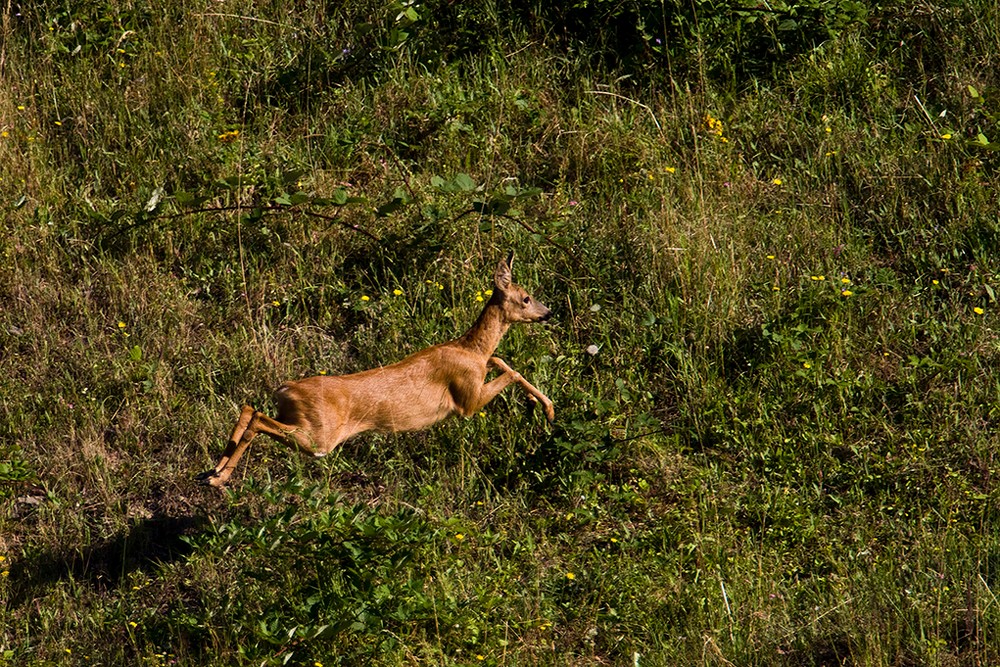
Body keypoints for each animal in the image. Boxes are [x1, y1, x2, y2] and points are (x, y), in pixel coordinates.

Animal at [195, 253, 556, 488]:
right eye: (526, 297)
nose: (549, 312)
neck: (469, 349)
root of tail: (284, 390)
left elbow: (501, 361)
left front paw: (540, 407)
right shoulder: (466, 399)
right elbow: (511, 370)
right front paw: (547, 409)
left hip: (303, 423)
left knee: (248, 408)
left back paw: (212, 473)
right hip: (320, 435)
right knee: (257, 417)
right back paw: (220, 477)